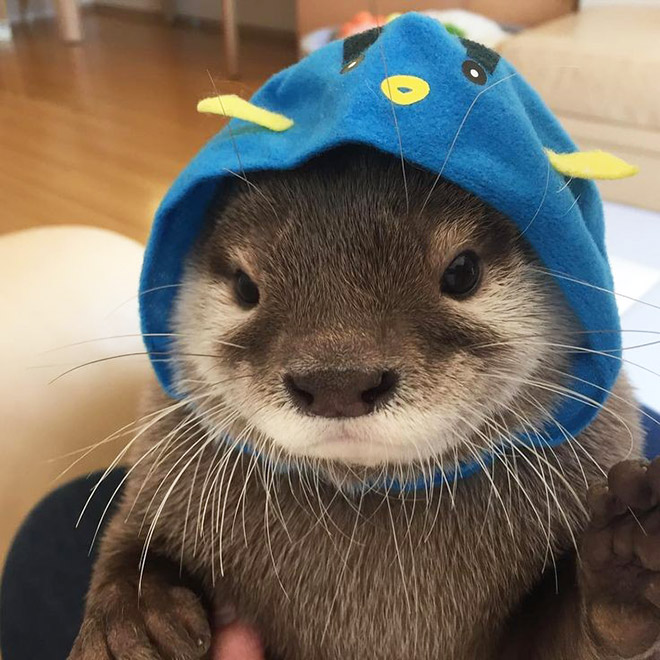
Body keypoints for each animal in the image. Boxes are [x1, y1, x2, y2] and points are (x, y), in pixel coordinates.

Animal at [67, 147, 660, 656]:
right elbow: (123, 543)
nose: (338, 381)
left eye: (462, 272)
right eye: (244, 286)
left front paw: (629, 568)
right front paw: (132, 615)